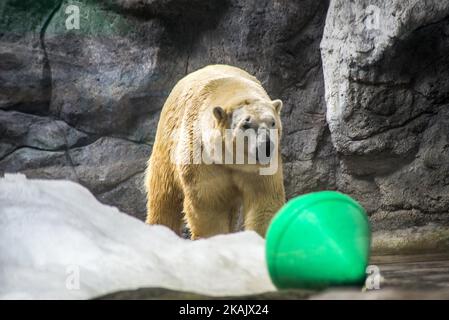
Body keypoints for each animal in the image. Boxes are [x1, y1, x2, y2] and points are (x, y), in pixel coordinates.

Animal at [144, 65, 284, 239]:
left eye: (272, 122)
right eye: (246, 125)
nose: (266, 146)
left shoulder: (260, 169)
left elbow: (263, 200)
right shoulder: (202, 156)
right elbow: (209, 203)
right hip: (166, 142)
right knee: (163, 195)